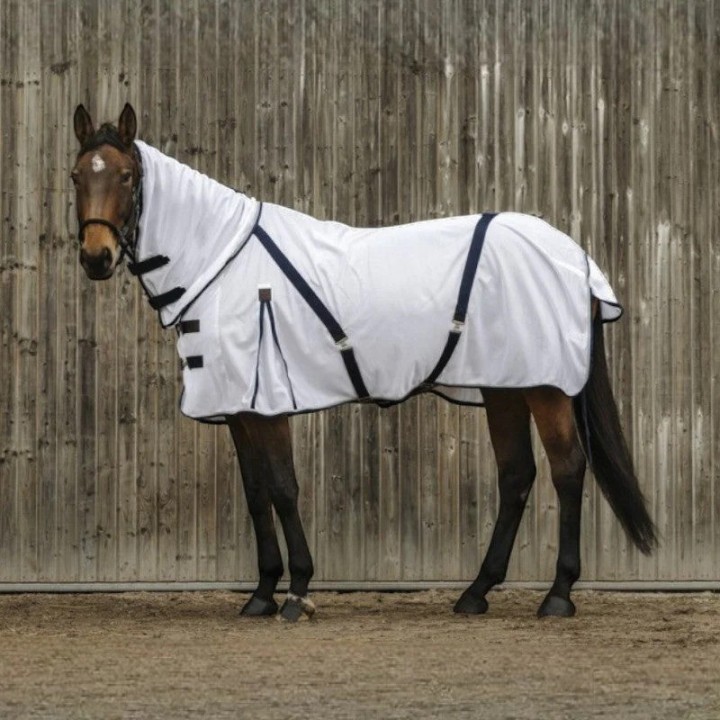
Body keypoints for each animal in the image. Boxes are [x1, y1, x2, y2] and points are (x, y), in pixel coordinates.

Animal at [71, 103, 657, 621]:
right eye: (77, 175)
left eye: (126, 175)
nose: (96, 258)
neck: (224, 262)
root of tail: (574, 257)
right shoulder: (238, 407)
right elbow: (256, 493)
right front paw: (261, 594)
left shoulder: (268, 404)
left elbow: (283, 488)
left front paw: (296, 593)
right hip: (504, 386)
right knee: (516, 474)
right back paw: (476, 592)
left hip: (546, 388)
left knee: (567, 469)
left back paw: (557, 595)